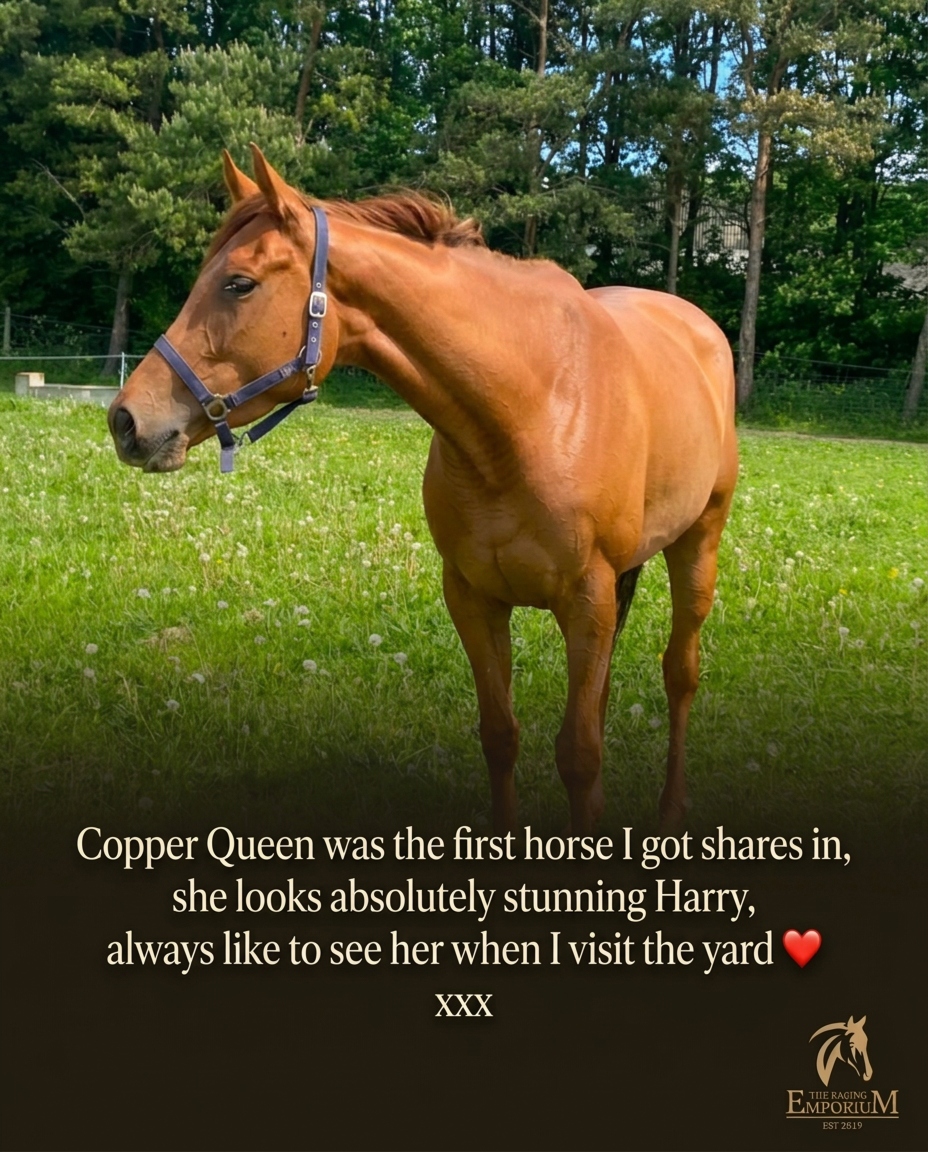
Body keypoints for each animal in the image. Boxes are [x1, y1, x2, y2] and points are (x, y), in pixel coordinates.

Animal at [108, 145, 738, 835]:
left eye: (239, 284)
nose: (127, 421)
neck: (530, 410)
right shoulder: (472, 597)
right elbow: (502, 735)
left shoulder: (586, 598)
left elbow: (579, 755)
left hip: (697, 545)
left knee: (680, 674)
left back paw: (672, 806)